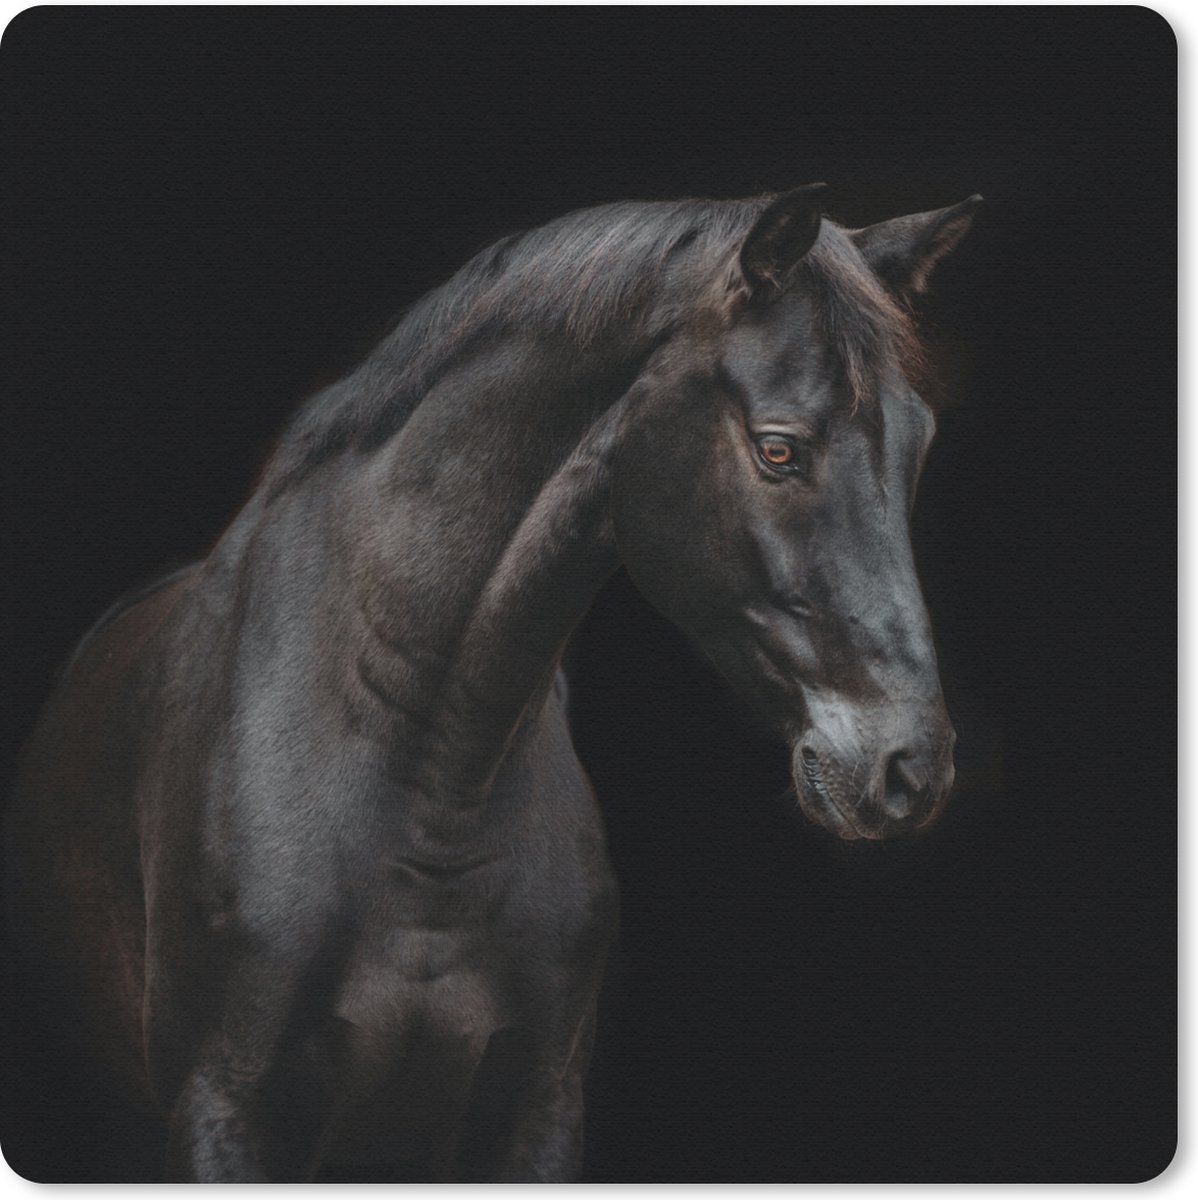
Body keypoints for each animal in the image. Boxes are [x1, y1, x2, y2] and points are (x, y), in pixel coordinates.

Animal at [4, 184, 980, 1181]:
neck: (430, 783)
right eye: (779, 449)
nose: (910, 768)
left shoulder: (537, 1109)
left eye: (920, 444)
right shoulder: (222, 1107)